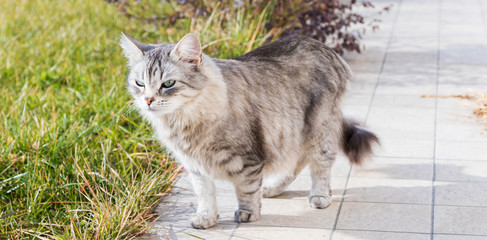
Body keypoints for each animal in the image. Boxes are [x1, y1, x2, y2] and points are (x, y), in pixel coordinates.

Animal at [120, 31, 380, 229]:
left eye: (168, 84)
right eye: (140, 84)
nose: (148, 100)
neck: (183, 122)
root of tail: (324, 48)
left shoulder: (246, 159)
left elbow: (245, 190)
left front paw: (247, 214)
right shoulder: (195, 166)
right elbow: (205, 196)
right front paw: (206, 219)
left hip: (318, 130)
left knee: (319, 167)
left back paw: (319, 196)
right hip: (294, 134)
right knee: (297, 162)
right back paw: (273, 188)